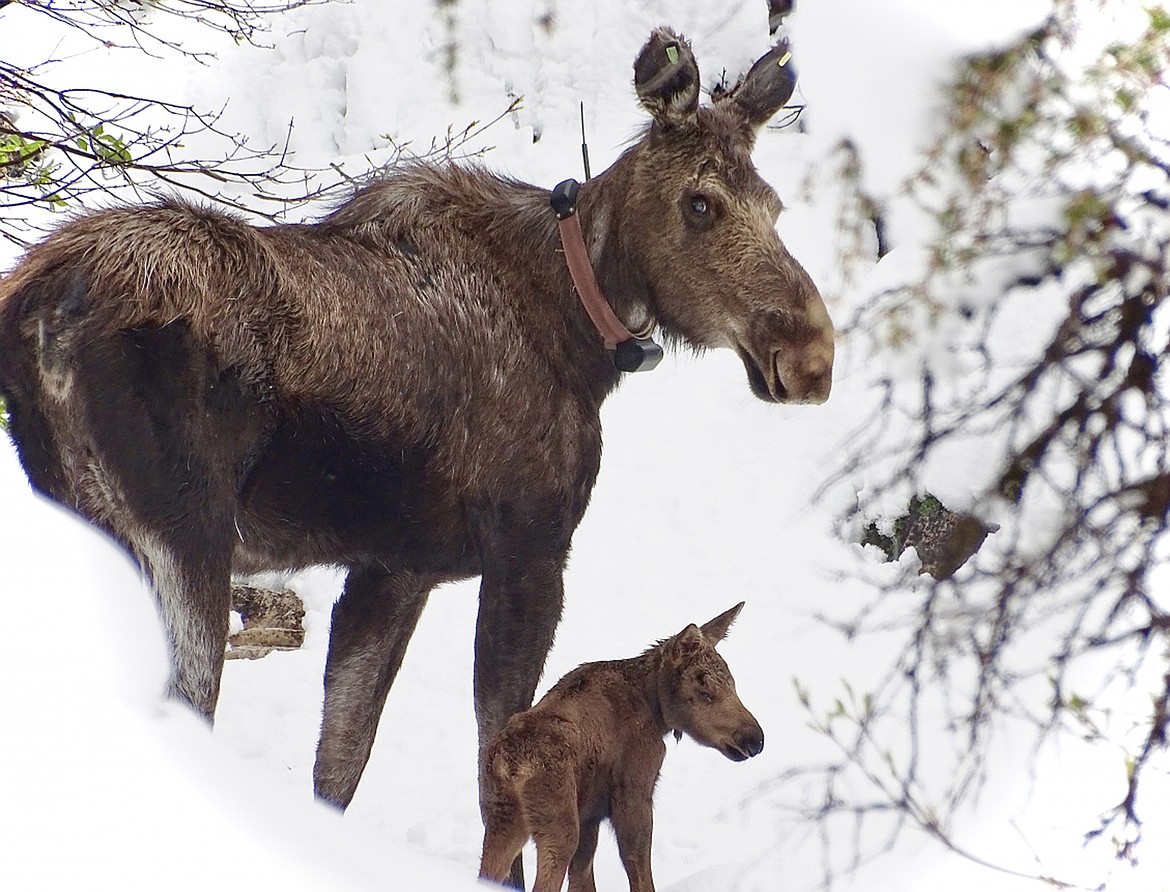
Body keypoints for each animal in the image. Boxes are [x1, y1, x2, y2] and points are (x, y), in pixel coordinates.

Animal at [0, 24, 833, 819]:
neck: (579, 331)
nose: (811, 355)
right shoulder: (530, 549)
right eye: (701, 202)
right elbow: (498, 763)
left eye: (775, 207)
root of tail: (37, 310)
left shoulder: (396, 568)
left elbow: (340, 766)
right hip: (186, 536)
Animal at [479, 597, 762, 889]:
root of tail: (510, 766)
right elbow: (639, 872)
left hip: (501, 815)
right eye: (705, 692)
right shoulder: (634, 790)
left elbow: (583, 878)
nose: (754, 738)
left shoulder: (589, 814)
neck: (654, 707)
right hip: (557, 823)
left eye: (733, 684)